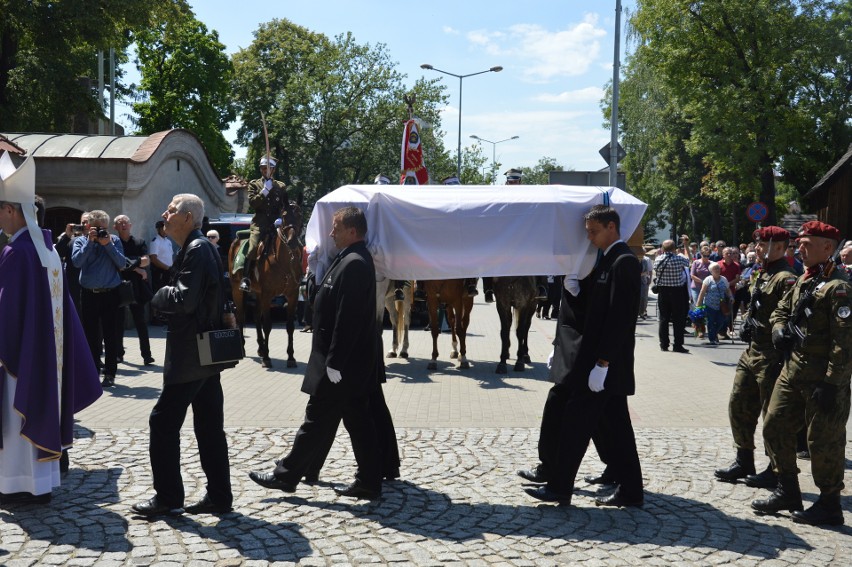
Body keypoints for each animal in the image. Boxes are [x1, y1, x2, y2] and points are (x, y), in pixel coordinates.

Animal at [230, 204, 302, 368]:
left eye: (300, 215)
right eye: (284, 217)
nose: (293, 242)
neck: (284, 261)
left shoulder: (292, 295)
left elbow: (290, 326)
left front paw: (291, 357)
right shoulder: (268, 295)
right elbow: (267, 325)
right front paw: (267, 358)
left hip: (257, 293)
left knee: (256, 317)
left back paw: (261, 348)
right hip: (237, 290)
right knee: (241, 316)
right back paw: (244, 348)